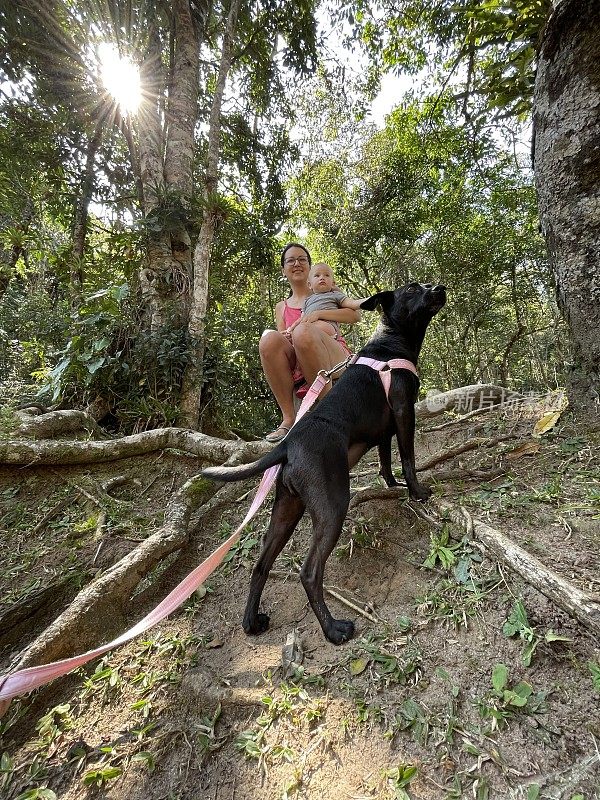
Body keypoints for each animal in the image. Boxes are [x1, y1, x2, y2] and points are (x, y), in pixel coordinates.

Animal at [204, 282, 442, 644]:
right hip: (332, 507)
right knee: (310, 573)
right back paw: (333, 630)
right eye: (414, 290)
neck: (390, 342)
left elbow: (386, 460)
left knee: (261, 565)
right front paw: (417, 491)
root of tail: (289, 445)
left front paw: (390, 484)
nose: (440, 287)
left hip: (287, 510)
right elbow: (407, 457)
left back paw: (252, 622)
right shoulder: (404, 412)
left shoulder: (384, 429)